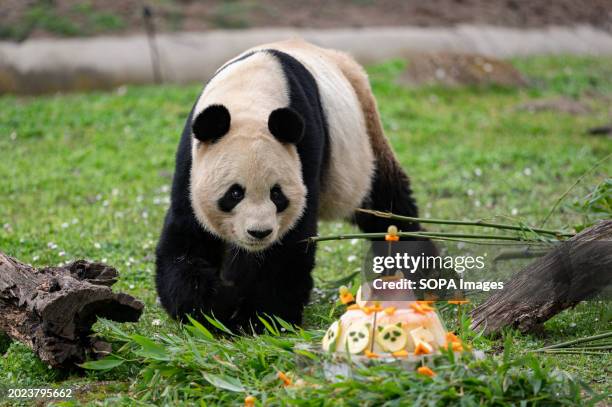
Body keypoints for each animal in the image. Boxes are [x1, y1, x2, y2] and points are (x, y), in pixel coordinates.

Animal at [157, 39, 436, 332]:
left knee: (384, 201)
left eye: (276, 194)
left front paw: (263, 317)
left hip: (363, 136)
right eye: (234, 193)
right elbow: (187, 242)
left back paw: (414, 262)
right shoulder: (191, 163)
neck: (248, 98)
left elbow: (288, 246)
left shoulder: (306, 147)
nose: (259, 233)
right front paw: (217, 307)